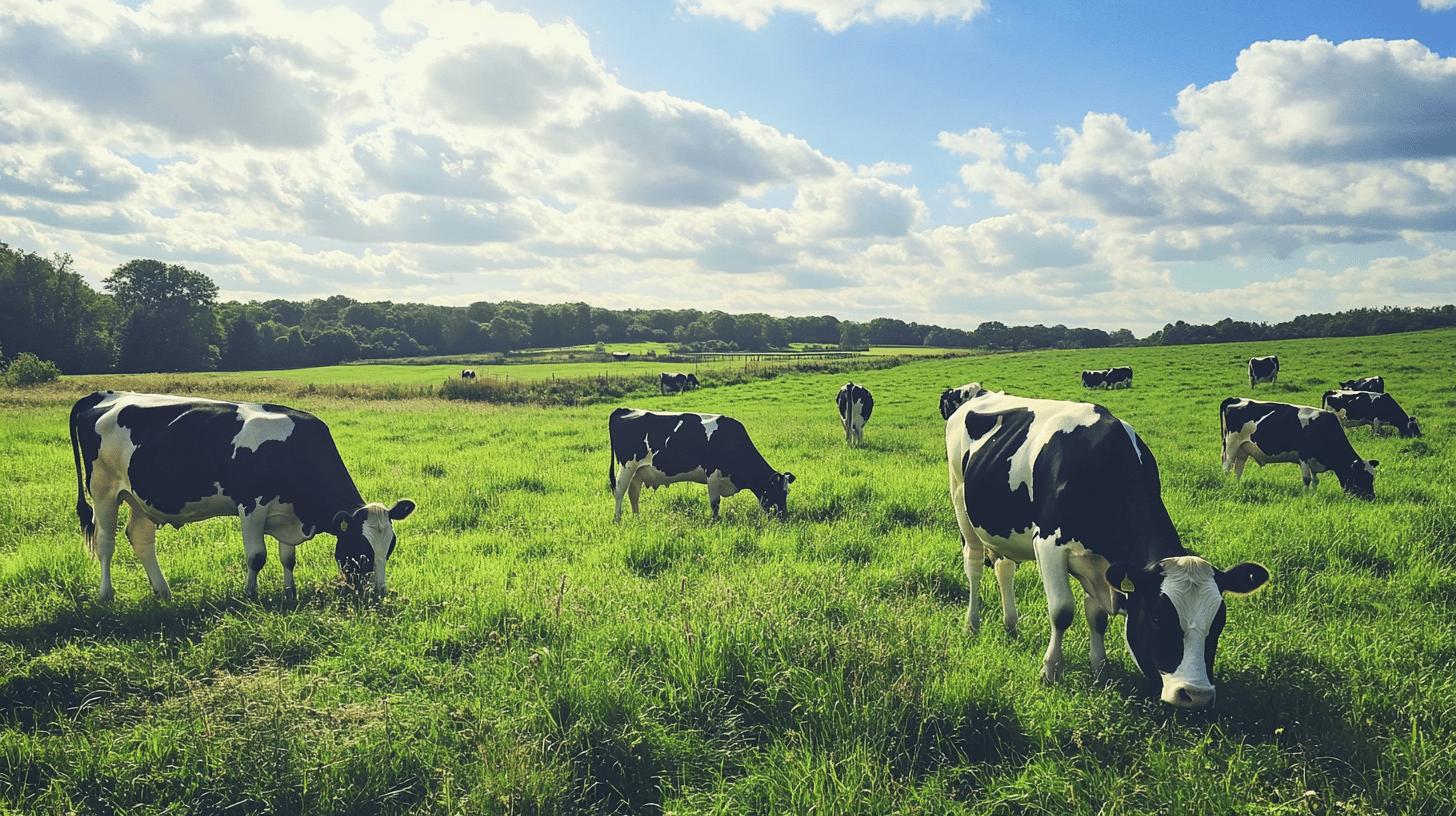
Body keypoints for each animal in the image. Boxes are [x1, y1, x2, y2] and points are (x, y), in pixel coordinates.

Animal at [69, 391, 417, 601]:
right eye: (360, 550)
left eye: (390, 547)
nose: (378, 592)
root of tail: (104, 394)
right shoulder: (251, 505)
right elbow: (256, 556)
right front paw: (250, 594)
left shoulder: (287, 512)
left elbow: (288, 557)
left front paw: (289, 591)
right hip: (103, 490)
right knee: (105, 542)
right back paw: (106, 594)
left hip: (139, 497)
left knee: (140, 538)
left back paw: (163, 591)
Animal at [609, 408, 794, 521]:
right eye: (777, 491)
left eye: (787, 492)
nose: (784, 516)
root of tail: (623, 410)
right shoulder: (712, 474)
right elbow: (715, 503)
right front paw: (715, 521)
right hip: (627, 466)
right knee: (619, 492)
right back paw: (618, 519)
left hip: (639, 471)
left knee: (633, 493)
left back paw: (637, 518)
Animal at [947, 391, 1268, 708]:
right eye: (1156, 617)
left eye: (1219, 621)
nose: (1196, 694)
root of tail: (979, 394)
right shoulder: (1048, 544)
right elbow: (1062, 611)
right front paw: (1051, 671)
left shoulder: (1103, 566)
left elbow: (1097, 617)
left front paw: (1100, 670)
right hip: (961, 502)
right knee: (974, 565)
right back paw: (972, 625)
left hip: (1002, 530)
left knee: (1005, 569)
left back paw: (1011, 625)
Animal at [1220, 398, 1379, 497]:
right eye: (1362, 477)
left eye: (1372, 478)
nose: (1371, 498)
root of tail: (1234, 399)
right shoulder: (1304, 455)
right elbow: (1307, 479)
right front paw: (1306, 497)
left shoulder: (1314, 459)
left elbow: (1315, 480)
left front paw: (1314, 495)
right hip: (1231, 445)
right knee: (1227, 468)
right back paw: (1227, 486)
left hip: (1243, 449)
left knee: (1238, 470)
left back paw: (1237, 486)